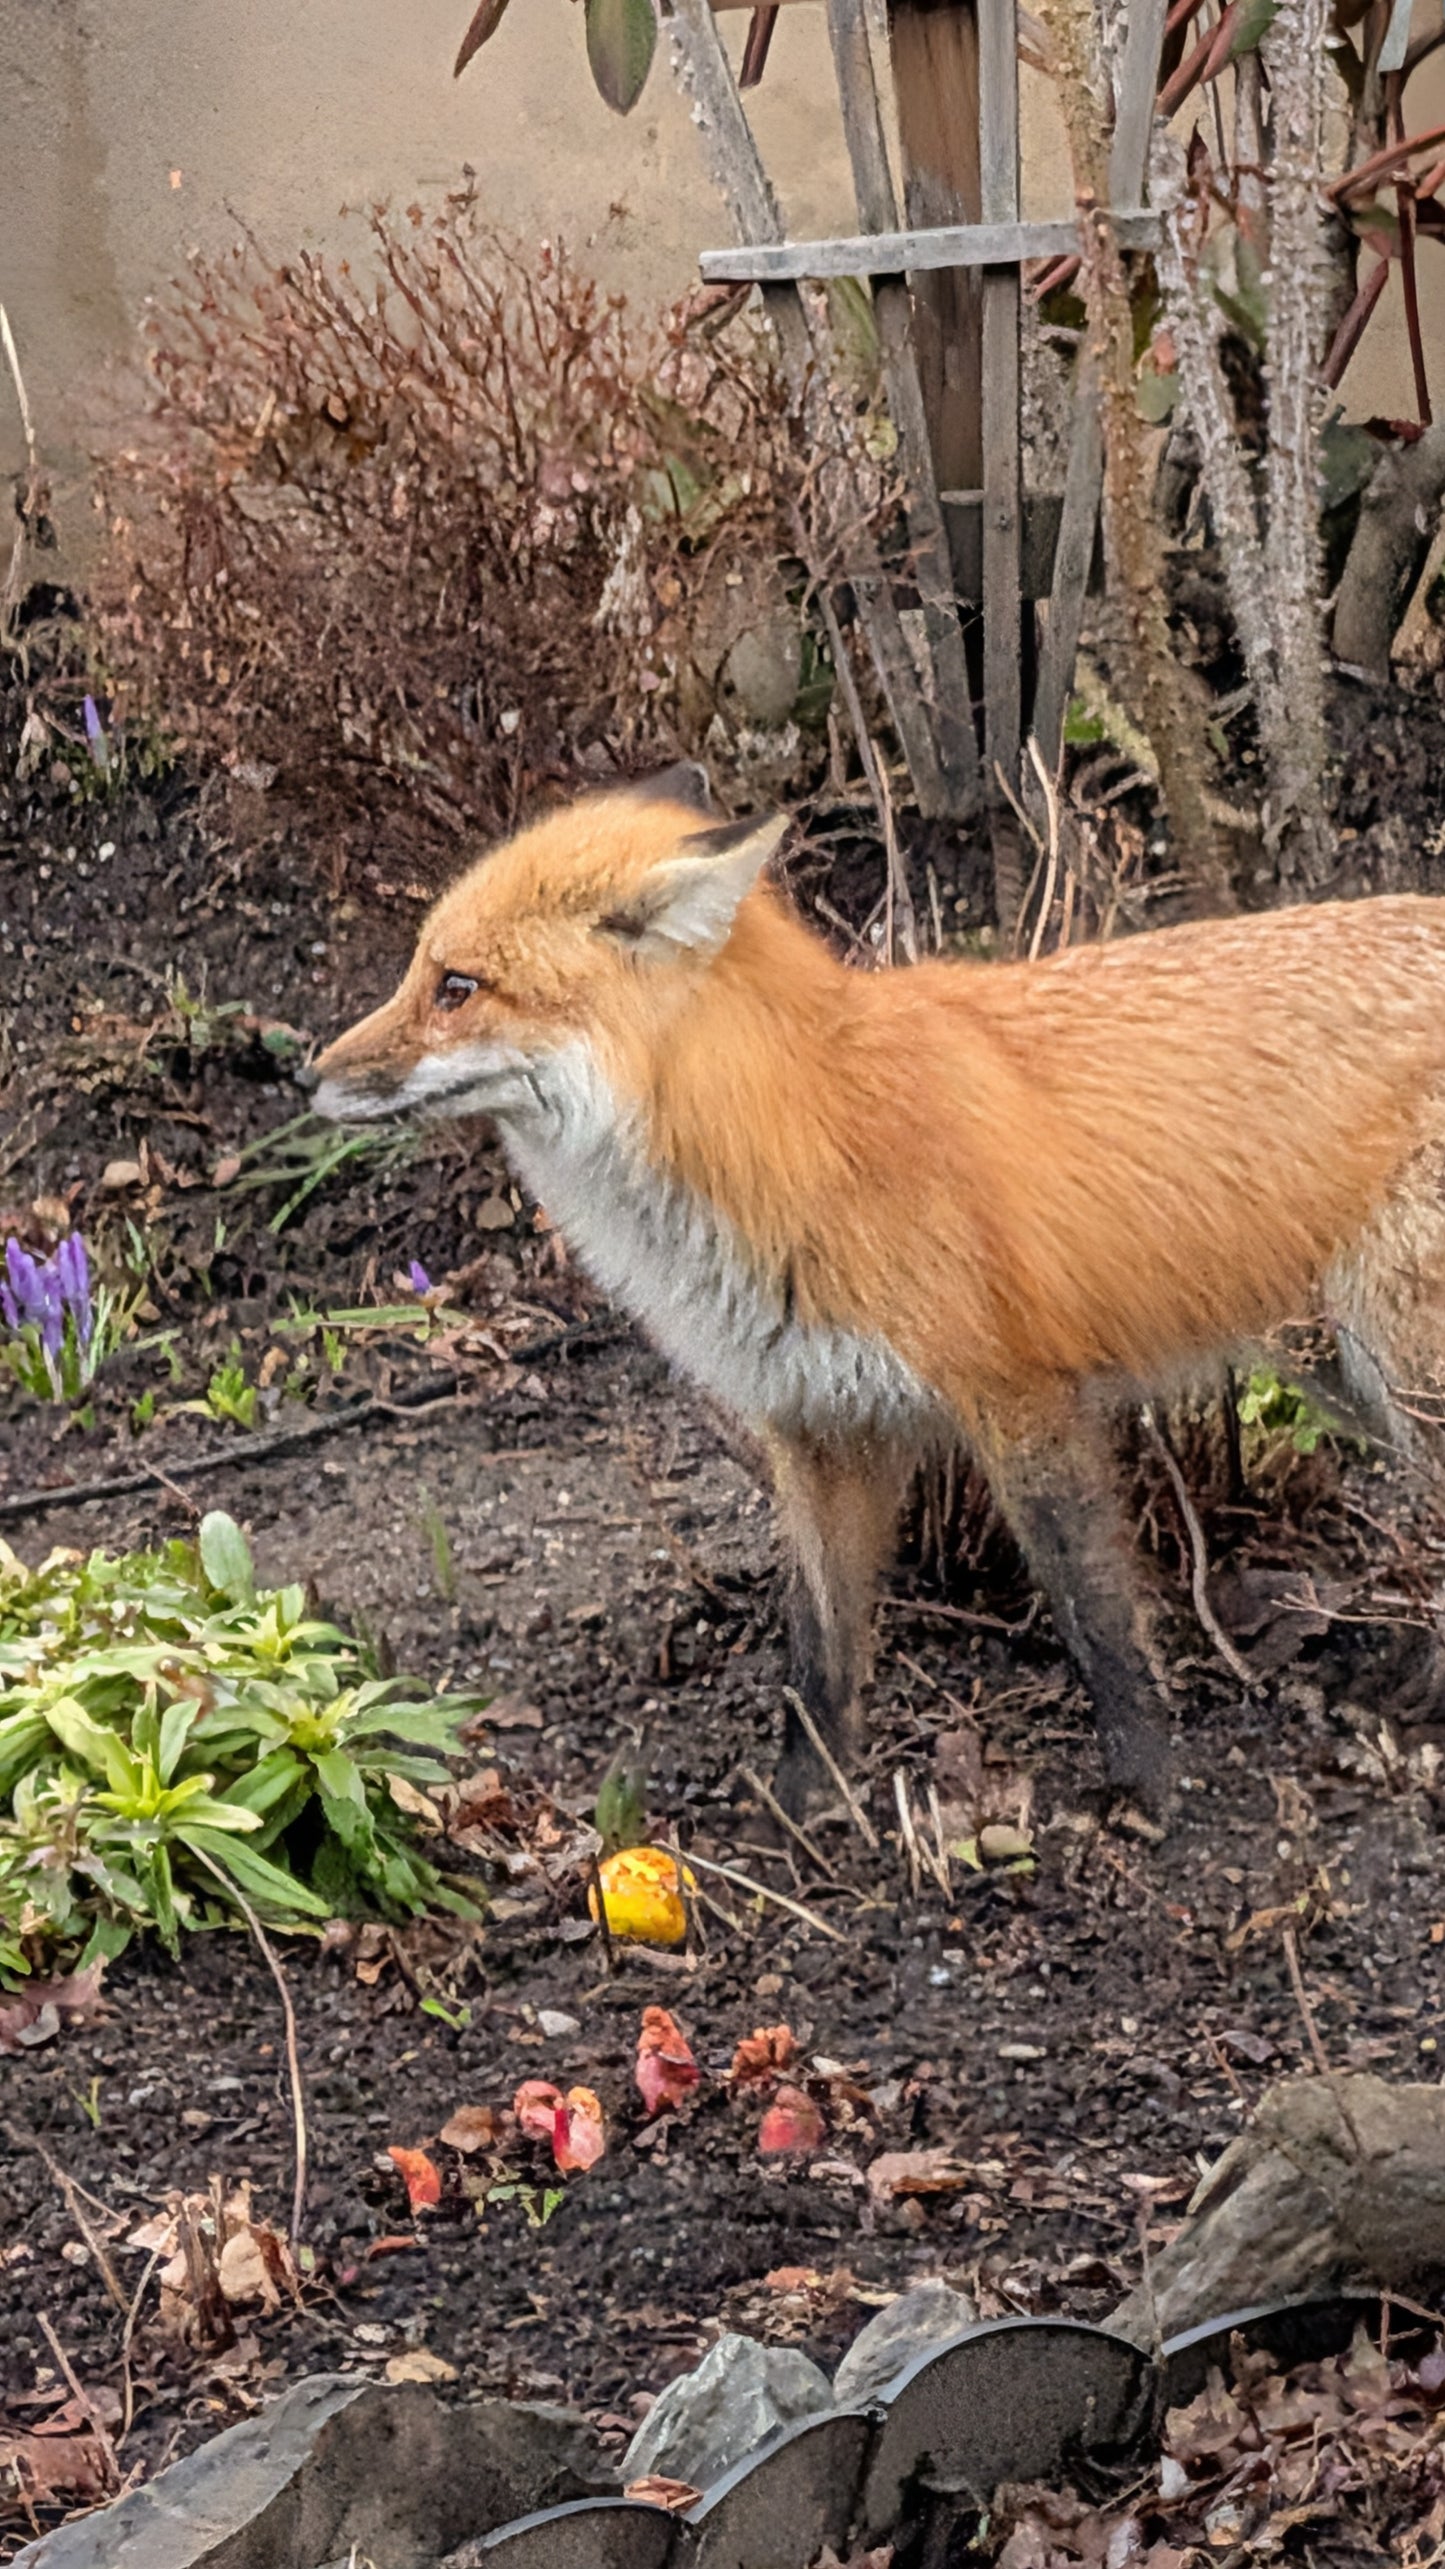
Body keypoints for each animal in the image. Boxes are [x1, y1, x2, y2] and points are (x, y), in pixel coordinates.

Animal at [312, 764, 1445, 1820]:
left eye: (457, 986)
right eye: (420, 971)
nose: (303, 1074)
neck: (792, 1133)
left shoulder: (1018, 1396)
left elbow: (1093, 1611)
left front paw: (1145, 1786)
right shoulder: (817, 1423)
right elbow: (817, 1650)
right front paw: (802, 1812)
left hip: (1395, 1365)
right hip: (1344, 1370)